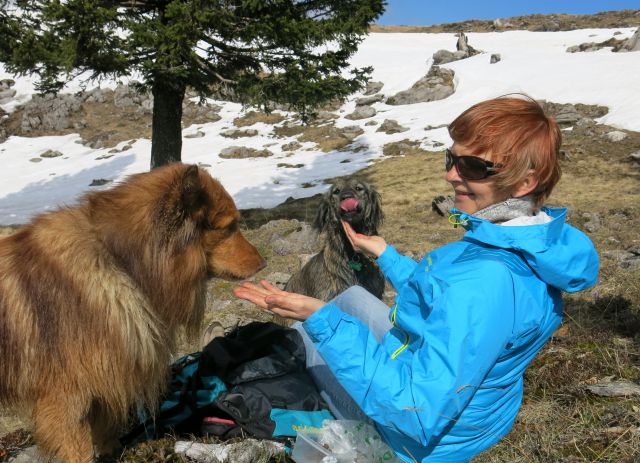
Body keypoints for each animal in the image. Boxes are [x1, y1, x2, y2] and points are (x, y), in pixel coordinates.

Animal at [0, 164, 264, 463]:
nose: (263, 262)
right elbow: (79, 450)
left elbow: (105, 431)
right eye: (229, 227)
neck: (118, 260)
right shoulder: (65, 399)